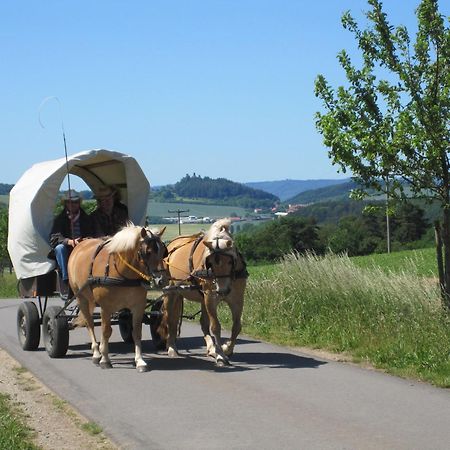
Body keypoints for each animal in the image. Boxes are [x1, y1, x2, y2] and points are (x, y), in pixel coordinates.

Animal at [69, 225, 168, 372]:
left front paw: (139, 361)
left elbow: (136, 332)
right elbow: (106, 331)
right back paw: (96, 353)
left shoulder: (138, 306)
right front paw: (105, 359)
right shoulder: (106, 307)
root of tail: (81, 244)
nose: (162, 280)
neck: (123, 273)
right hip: (81, 298)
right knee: (90, 324)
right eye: (148, 252)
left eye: (162, 251)